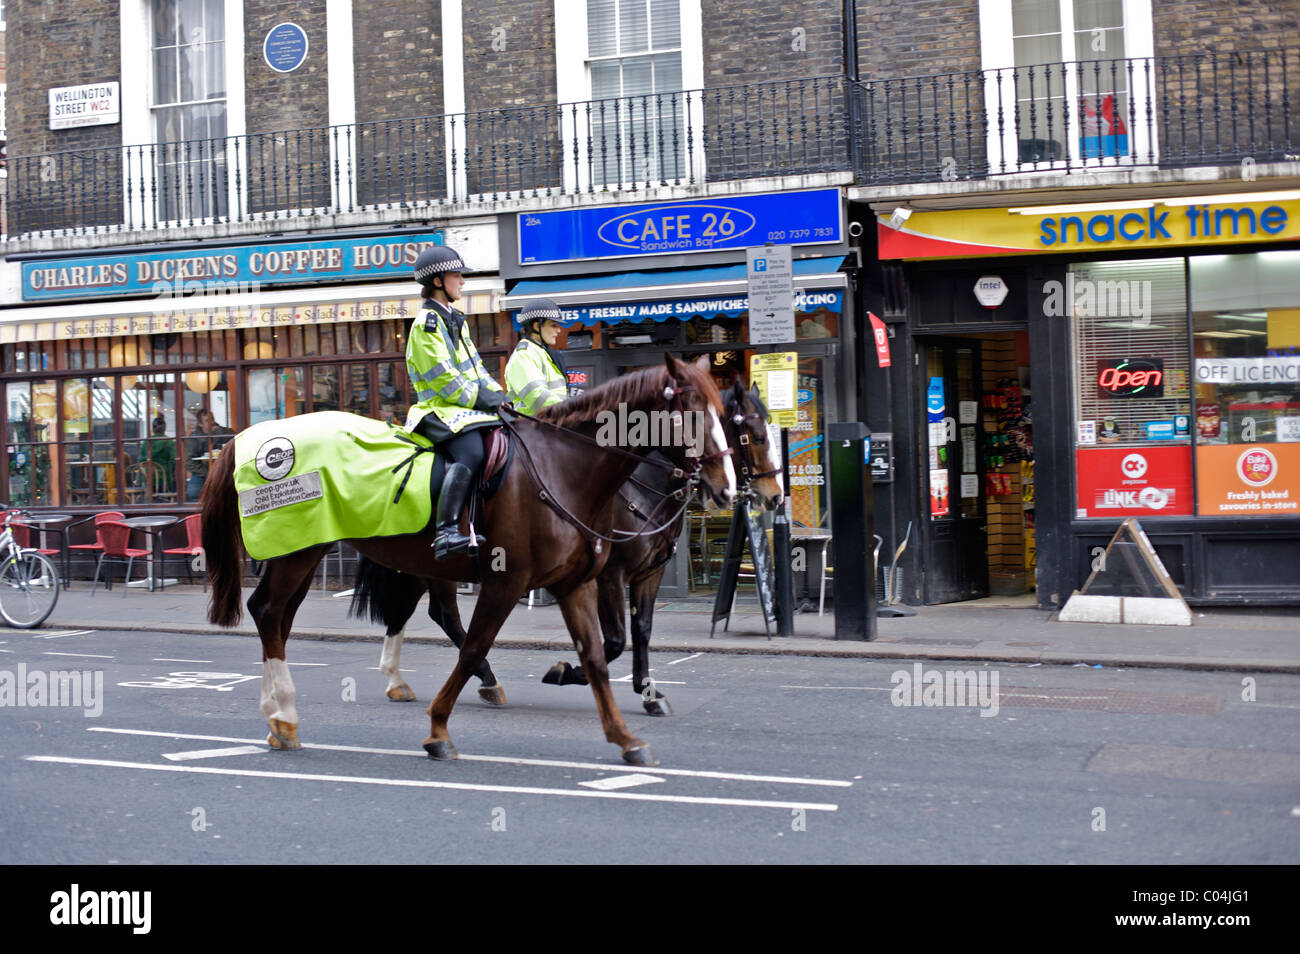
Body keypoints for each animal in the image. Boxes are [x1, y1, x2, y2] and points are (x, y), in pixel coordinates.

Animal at [201, 356, 733, 769]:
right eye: (693, 412)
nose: (727, 489)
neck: (563, 468)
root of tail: (252, 437)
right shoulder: (510, 581)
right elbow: (475, 646)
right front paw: (439, 729)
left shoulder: (575, 583)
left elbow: (600, 656)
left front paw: (625, 738)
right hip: (297, 552)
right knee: (272, 613)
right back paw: (286, 715)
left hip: (309, 552)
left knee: (281, 617)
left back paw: (281, 716)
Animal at [353, 382, 780, 717]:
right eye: (755, 435)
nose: (774, 496)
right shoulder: (611, 576)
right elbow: (615, 640)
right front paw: (565, 672)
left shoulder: (649, 572)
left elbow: (641, 630)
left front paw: (648, 692)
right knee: (438, 615)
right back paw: (473, 678)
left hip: (427, 565)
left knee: (422, 612)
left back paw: (409, 680)